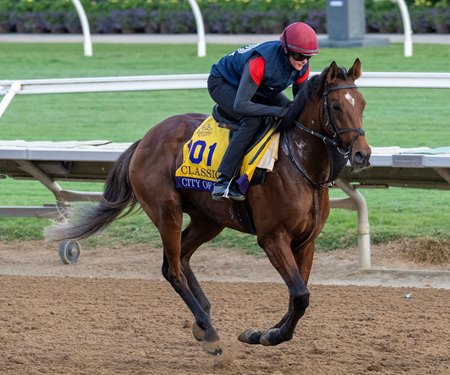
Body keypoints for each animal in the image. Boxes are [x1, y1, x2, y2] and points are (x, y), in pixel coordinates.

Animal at [45, 58, 370, 356]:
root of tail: (145, 139)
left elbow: (298, 295)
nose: (362, 154)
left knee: (182, 257)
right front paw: (270, 335)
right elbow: (300, 294)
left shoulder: (305, 241)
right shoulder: (272, 237)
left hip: (209, 219)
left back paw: (203, 320)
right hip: (167, 212)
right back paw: (210, 332)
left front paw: (261, 333)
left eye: (363, 104)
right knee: (172, 269)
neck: (298, 163)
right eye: (337, 107)